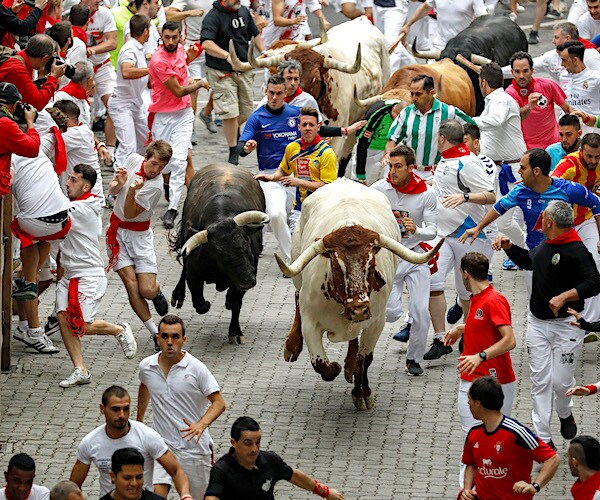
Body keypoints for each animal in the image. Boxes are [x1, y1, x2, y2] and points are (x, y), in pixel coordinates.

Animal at [171, 164, 270, 344]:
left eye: (247, 246)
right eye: (220, 255)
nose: (248, 281)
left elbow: (236, 302)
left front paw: (236, 332)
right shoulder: (194, 274)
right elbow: (200, 304)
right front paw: (207, 304)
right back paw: (178, 295)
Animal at [274, 180, 442, 410]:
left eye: (370, 264)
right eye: (337, 265)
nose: (358, 309)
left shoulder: (376, 322)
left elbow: (364, 360)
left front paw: (361, 391)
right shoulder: (310, 323)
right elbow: (321, 365)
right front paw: (336, 367)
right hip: (297, 272)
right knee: (297, 296)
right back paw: (292, 345)